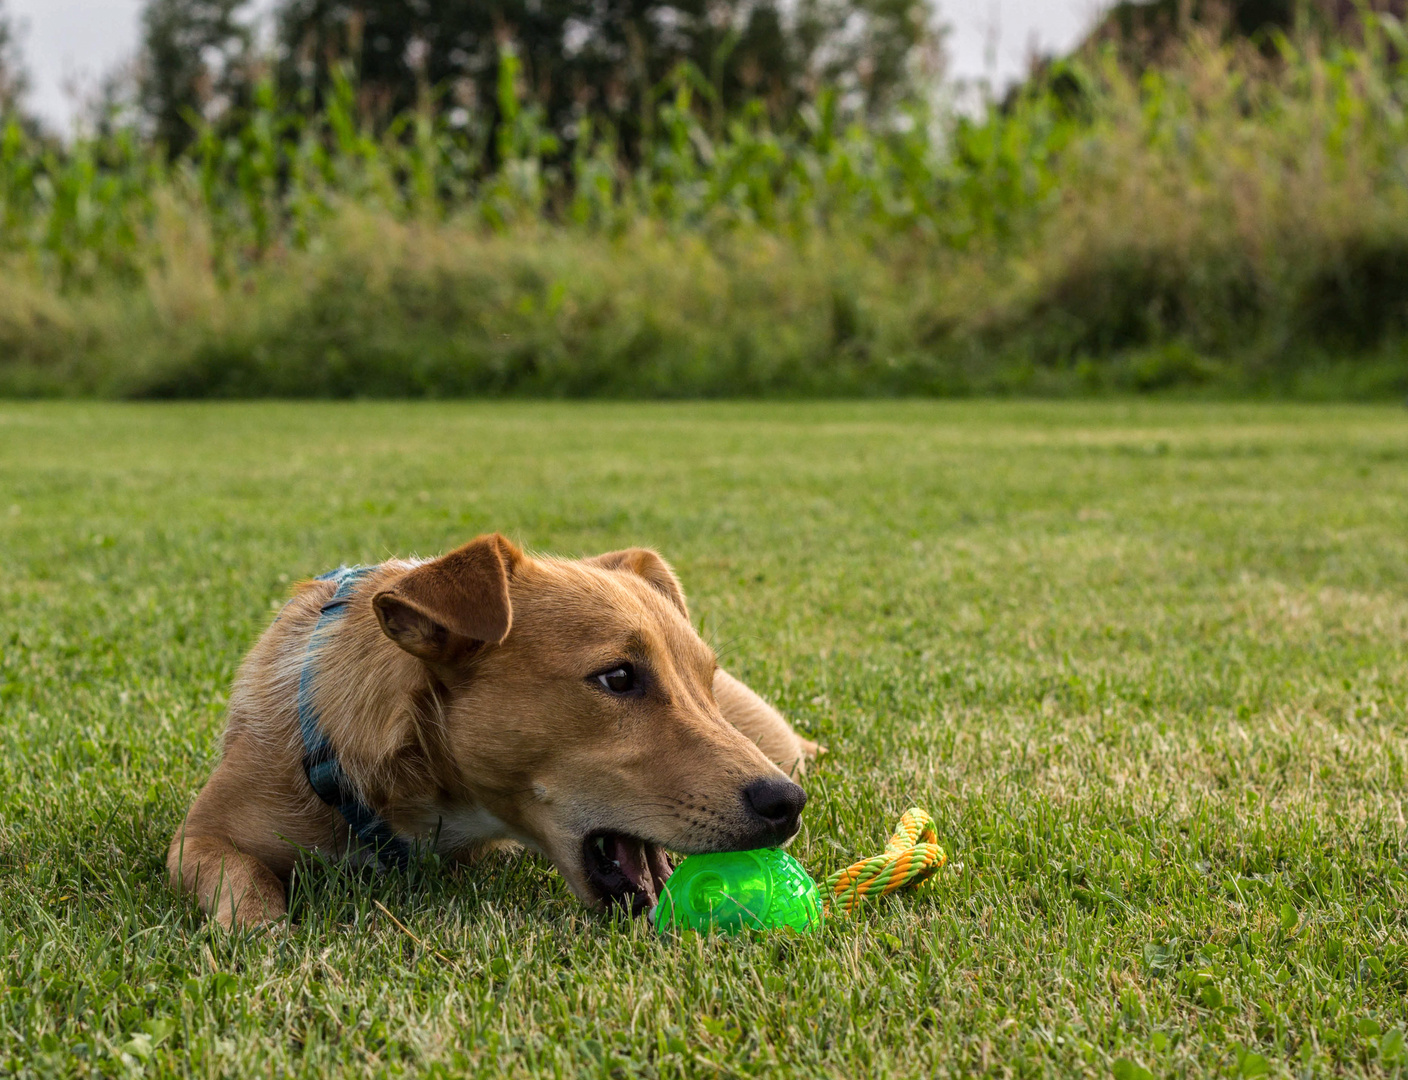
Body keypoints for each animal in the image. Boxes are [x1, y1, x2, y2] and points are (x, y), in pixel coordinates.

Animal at [168, 532, 822, 929]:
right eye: (617, 677)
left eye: (703, 680)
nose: (787, 804)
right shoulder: (199, 839)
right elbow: (248, 889)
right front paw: (265, 935)